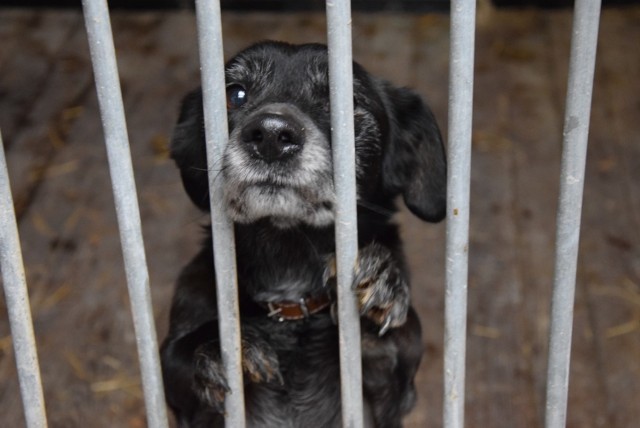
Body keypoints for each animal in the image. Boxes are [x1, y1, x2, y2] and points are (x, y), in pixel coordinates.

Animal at [161, 41, 444, 428]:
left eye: (345, 102)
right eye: (234, 94)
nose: (270, 134)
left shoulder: (396, 389)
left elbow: (400, 334)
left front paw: (382, 283)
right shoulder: (177, 385)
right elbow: (179, 352)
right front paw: (224, 346)